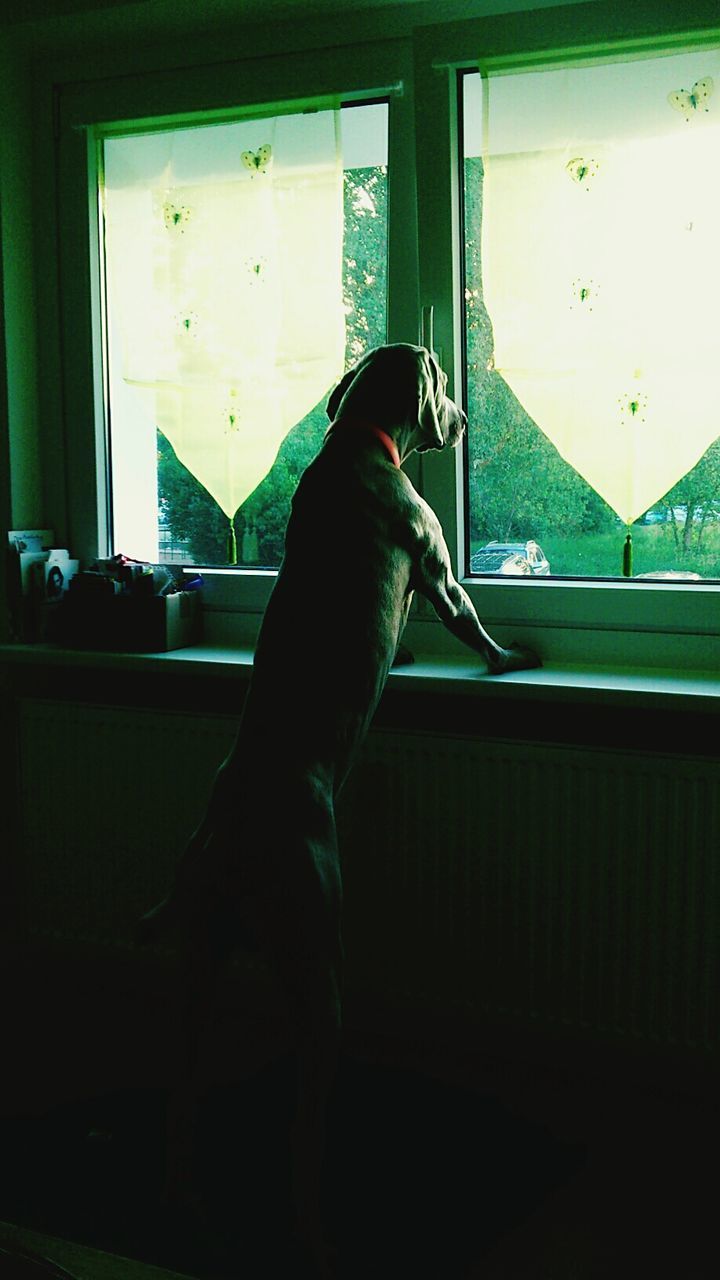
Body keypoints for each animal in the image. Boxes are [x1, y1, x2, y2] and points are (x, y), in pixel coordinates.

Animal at [135, 340, 538, 1269]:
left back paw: (183, 1200)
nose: (463, 420)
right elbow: (468, 618)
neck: (362, 441)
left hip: (198, 969)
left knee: (181, 1094)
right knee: (302, 1130)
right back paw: (313, 1228)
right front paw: (510, 657)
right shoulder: (436, 568)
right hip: (319, 962)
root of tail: (223, 837)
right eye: (445, 390)